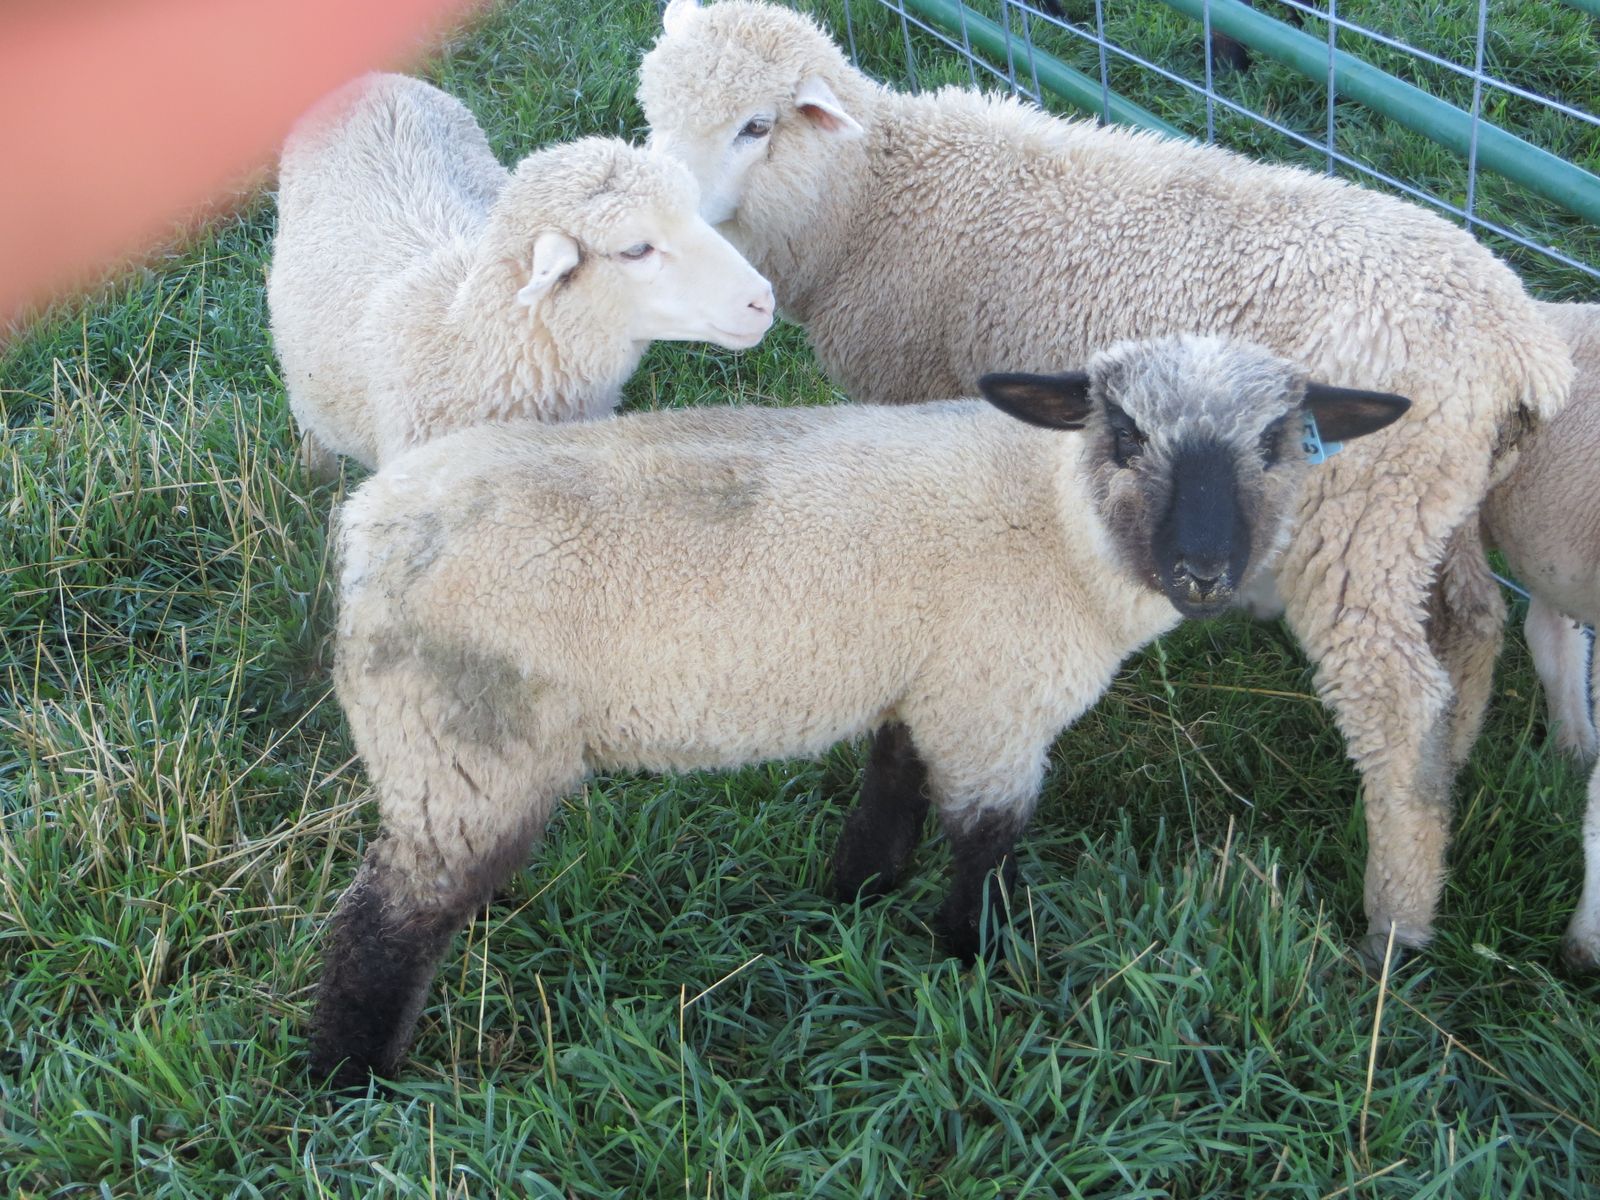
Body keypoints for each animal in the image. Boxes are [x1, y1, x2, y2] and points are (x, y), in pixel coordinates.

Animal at [309, 333, 1409, 1086]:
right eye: (1125, 432)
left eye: (1277, 442)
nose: (1204, 573)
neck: (1060, 526)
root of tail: (368, 529)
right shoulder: (993, 706)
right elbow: (985, 842)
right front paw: (973, 965)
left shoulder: (928, 687)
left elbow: (890, 793)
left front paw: (853, 900)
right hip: (456, 741)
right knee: (379, 925)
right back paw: (351, 1084)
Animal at [637, 0, 1574, 964]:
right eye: (653, 108)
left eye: (756, 127)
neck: (875, 194)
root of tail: (1518, 346)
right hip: (1430, 506)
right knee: (1471, 625)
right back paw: (1450, 780)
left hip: (1357, 519)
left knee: (1396, 703)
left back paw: (1395, 920)